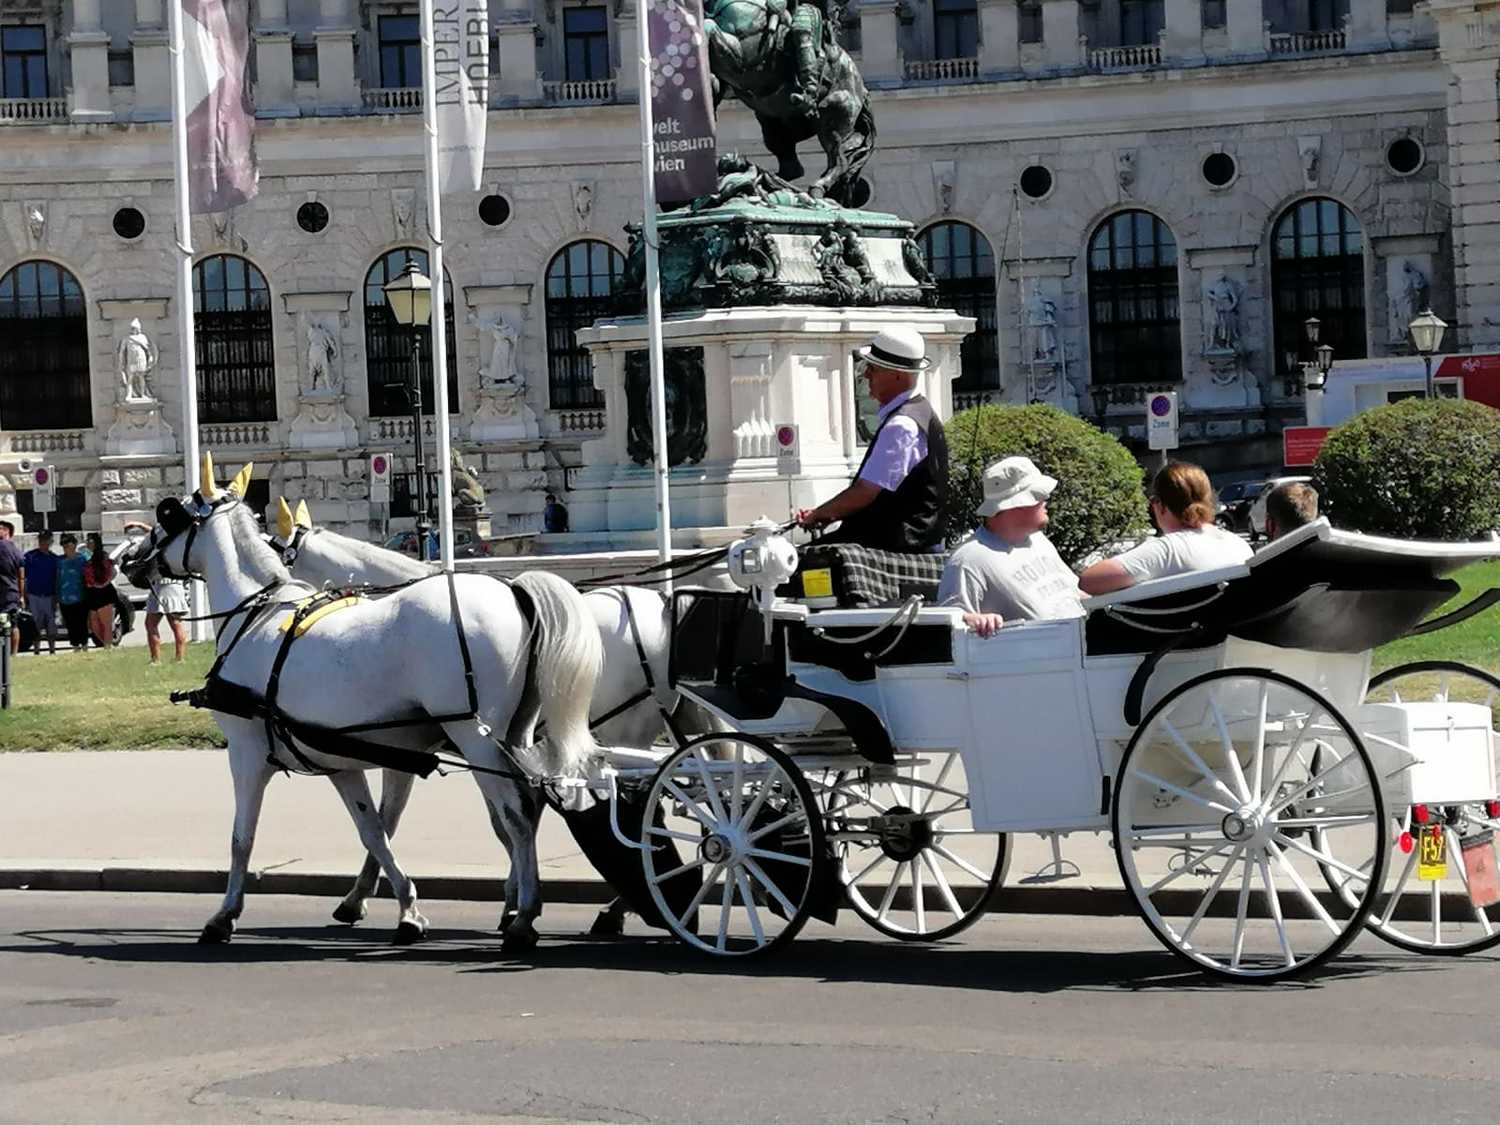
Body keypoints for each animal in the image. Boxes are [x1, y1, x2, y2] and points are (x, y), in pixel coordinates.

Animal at [124, 457, 603, 953]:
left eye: (168, 513)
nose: (129, 558)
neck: (256, 615)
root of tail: (512, 591)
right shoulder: (342, 761)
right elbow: (374, 830)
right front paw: (403, 908)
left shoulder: (247, 753)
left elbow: (243, 837)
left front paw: (224, 914)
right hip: (516, 735)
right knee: (527, 804)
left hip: (477, 738)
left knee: (517, 815)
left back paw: (524, 915)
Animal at [266, 498, 722, 935]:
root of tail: (663, 605)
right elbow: (491, 820)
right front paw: (512, 899)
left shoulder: (454, 747)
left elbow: (411, 820)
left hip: (623, 733)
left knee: (644, 808)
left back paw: (625, 905)